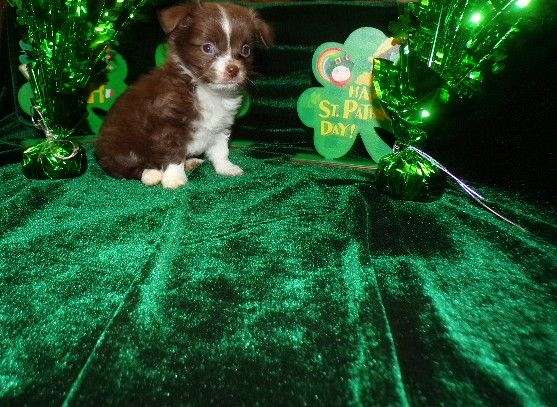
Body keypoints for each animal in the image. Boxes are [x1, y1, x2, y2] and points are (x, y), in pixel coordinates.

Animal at [96, 1, 274, 189]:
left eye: (246, 50)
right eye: (207, 48)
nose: (234, 69)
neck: (208, 91)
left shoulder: (221, 124)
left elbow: (220, 149)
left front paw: (226, 167)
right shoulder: (169, 124)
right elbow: (173, 152)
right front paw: (174, 178)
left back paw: (189, 163)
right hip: (121, 146)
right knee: (124, 166)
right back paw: (150, 173)